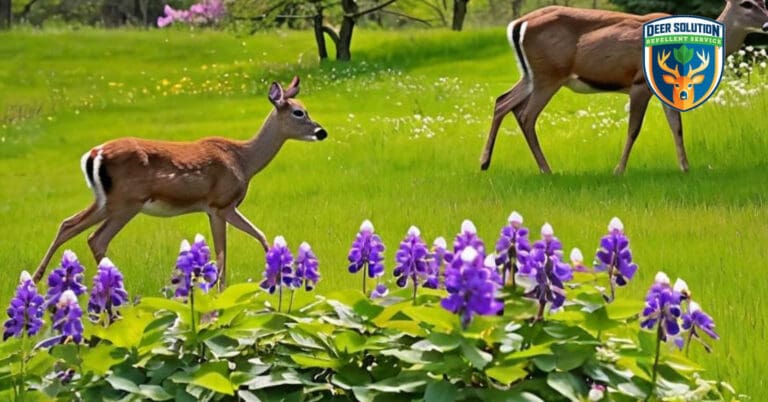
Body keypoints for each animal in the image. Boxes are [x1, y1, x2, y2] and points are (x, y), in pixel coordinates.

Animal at [32, 76, 327, 290]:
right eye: (299, 112)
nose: (321, 132)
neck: (244, 161)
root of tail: (95, 154)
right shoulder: (220, 204)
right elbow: (223, 254)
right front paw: (222, 293)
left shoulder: (218, 208)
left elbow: (260, 236)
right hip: (127, 202)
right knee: (96, 239)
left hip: (105, 200)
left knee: (68, 224)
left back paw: (38, 279)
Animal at [480, 0, 768, 175]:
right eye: (745, 3)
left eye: (763, 2)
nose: (767, 23)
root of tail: (518, 24)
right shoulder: (639, 83)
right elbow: (634, 129)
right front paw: (618, 170)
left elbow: (677, 127)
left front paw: (686, 167)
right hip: (549, 75)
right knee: (526, 115)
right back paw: (546, 169)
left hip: (534, 75)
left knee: (503, 101)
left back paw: (485, 162)